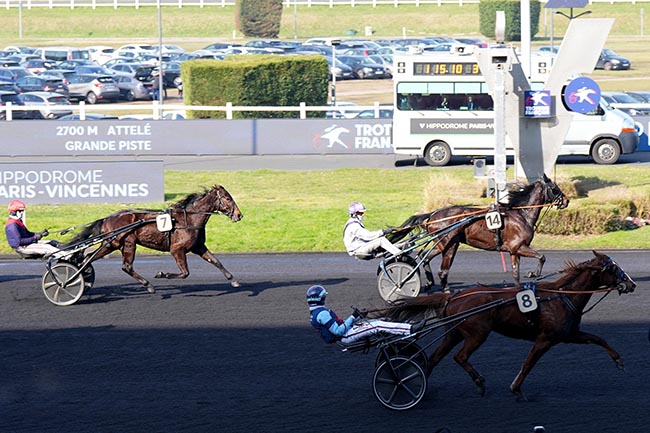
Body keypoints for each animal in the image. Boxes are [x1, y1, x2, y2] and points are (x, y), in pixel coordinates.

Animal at [66, 184, 243, 292]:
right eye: (228, 198)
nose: (239, 215)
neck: (190, 220)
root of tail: (106, 218)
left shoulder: (198, 247)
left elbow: (216, 261)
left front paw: (233, 280)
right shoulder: (177, 249)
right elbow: (185, 273)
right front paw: (162, 274)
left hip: (111, 244)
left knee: (88, 258)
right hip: (125, 243)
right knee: (126, 266)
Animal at [378, 250, 636, 402]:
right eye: (613, 267)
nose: (631, 284)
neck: (561, 296)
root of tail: (454, 296)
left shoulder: (569, 334)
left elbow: (598, 339)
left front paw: (619, 360)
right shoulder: (545, 339)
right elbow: (528, 363)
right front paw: (516, 389)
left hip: (454, 334)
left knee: (433, 359)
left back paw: (416, 383)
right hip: (477, 333)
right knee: (459, 357)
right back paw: (476, 382)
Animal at [390, 173, 568, 290]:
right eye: (554, 187)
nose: (566, 200)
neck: (521, 214)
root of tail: (432, 215)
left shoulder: (513, 250)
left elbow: (515, 273)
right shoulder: (519, 246)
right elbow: (542, 256)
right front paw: (533, 273)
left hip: (441, 244)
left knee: (425, 258)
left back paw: (429, 282)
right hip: (449, 244)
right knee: (442, 269)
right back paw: (444, 289)